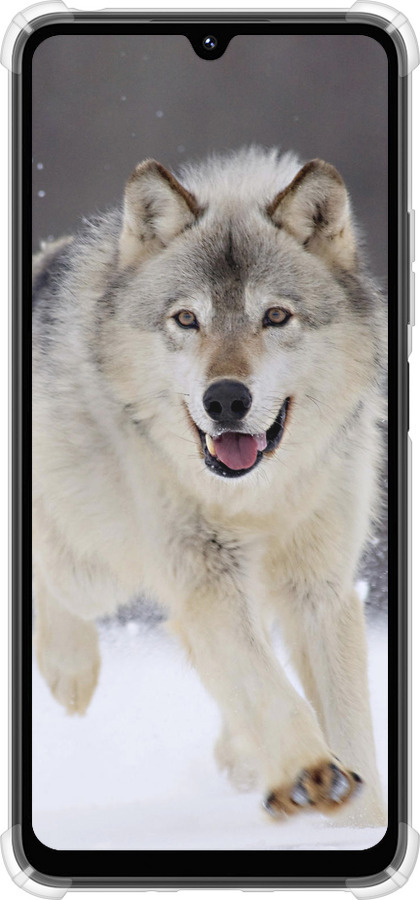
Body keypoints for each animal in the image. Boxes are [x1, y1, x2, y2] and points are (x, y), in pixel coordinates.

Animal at [33, 147, 386, 826]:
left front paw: (361, 820)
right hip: (96, 568)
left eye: (274, 316)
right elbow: (267, 686)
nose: (225, 399)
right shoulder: (204, 574)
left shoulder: (319, 586)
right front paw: (309, 773)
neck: (255, 498)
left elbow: (350, 724)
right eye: (186, 319)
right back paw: (71, 669)